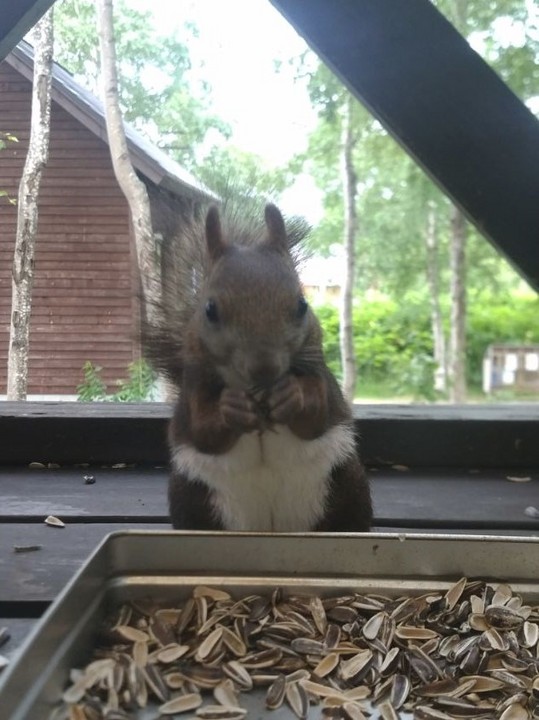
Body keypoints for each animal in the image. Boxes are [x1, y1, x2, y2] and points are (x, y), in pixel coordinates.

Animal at [144, 200, 372, 532]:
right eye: (209, 309)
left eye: (302, 304)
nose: (264, 369)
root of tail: (269, 527)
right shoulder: (194, 387)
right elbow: (204, 432)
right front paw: (232, 407)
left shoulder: (321, 376)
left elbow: (317, 416)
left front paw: (292, 396)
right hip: (192, 496)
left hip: (345, 485)